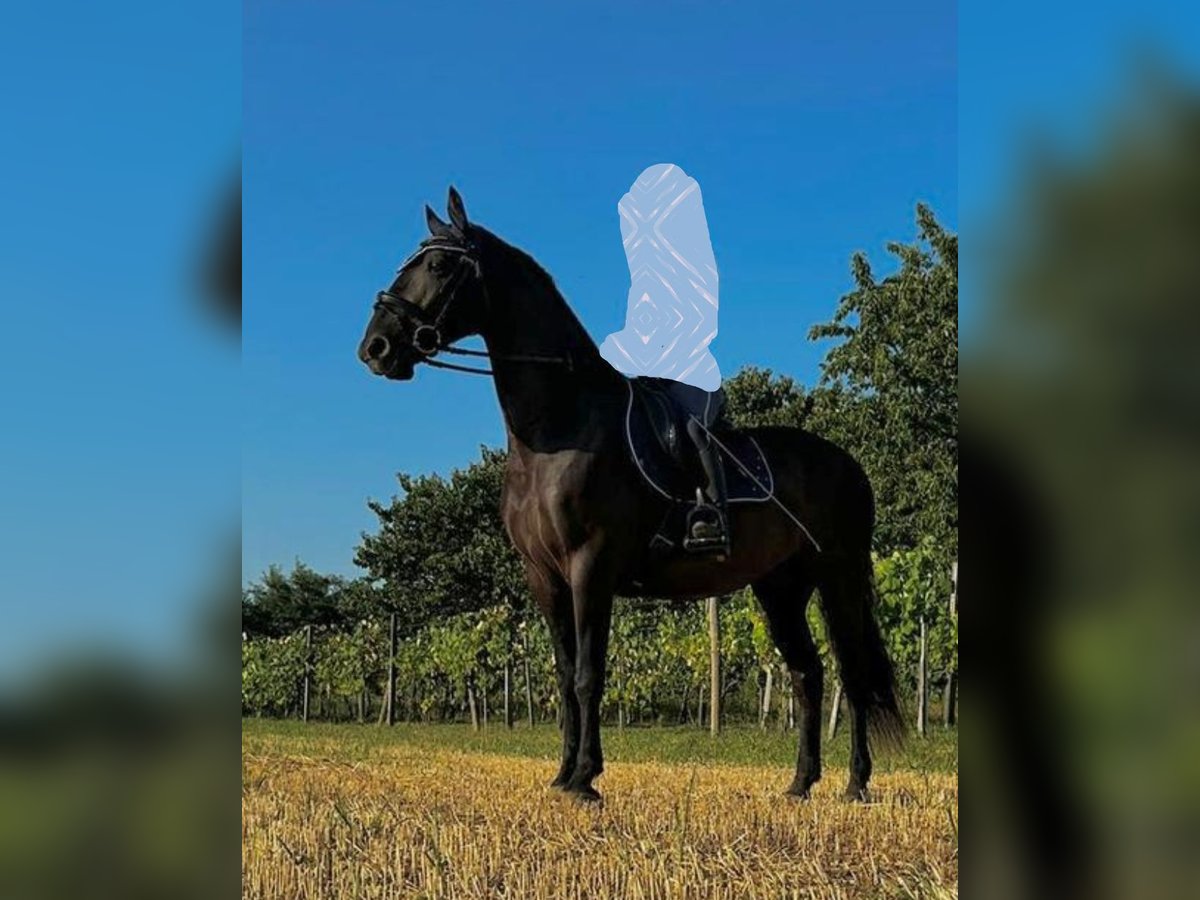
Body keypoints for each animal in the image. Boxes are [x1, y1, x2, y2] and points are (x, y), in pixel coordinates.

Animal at [357, 187, 903, 802]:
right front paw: (562, 775)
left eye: (437, 265)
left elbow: (589, 674)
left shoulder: (590, 568)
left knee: (852, 673)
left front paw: (585, 780)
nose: (375, 347)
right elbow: (564, 676)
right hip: (780, 586)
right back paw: (800, 783)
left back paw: (855, 784)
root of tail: (846, 463)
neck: (558, 429)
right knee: (807, 671)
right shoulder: (544, 577)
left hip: (838, 573)